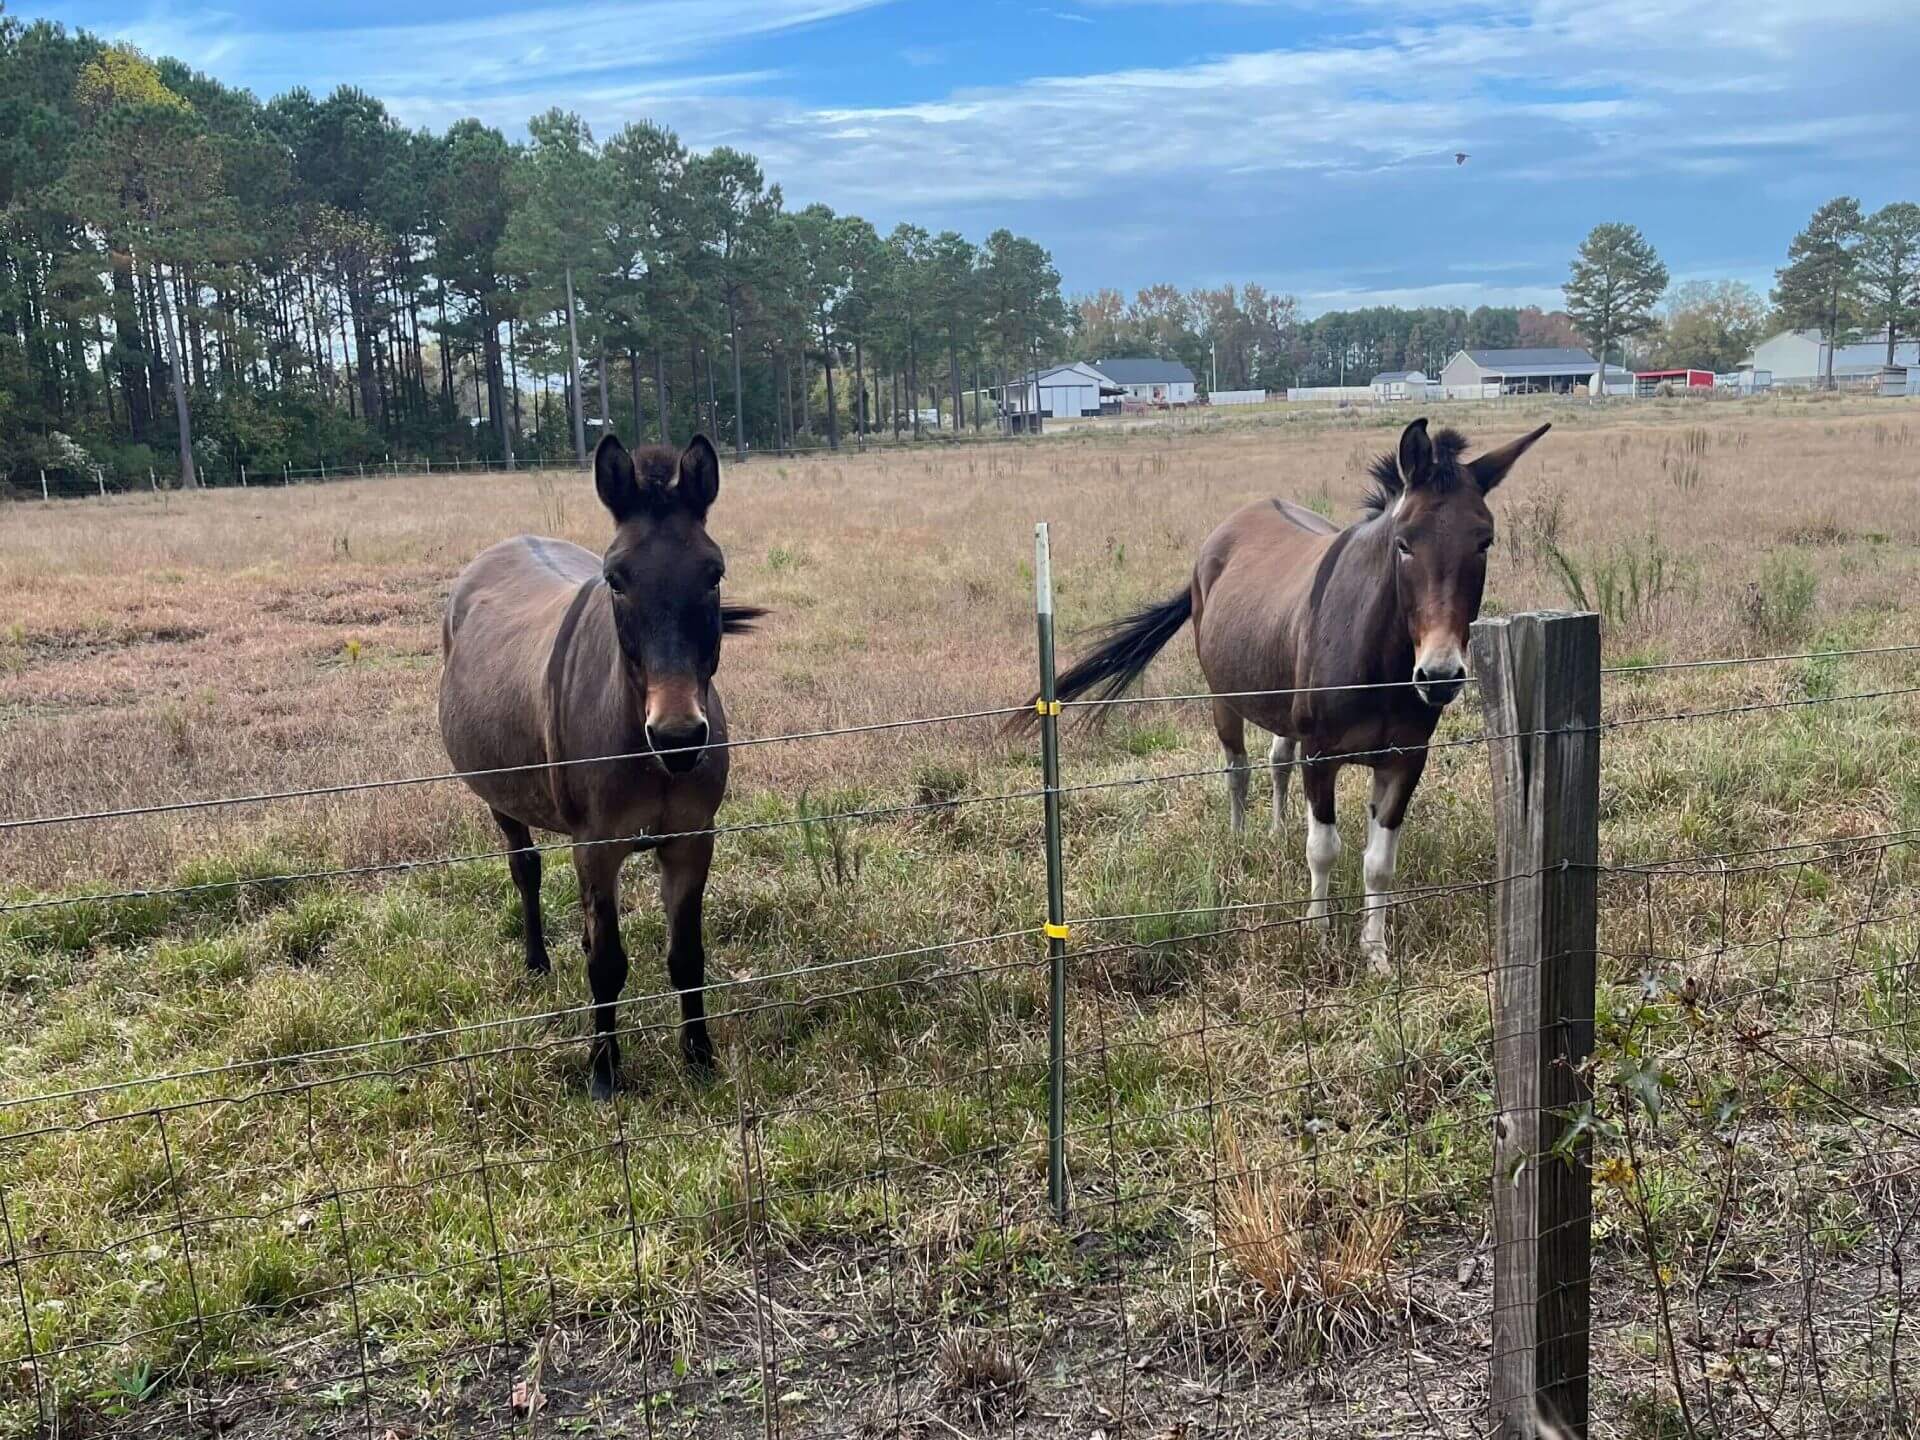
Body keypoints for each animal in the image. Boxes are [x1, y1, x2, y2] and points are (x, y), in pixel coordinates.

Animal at [438, 433, 763, 1098]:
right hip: (502, 800)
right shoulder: (598, 843)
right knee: (525, 869)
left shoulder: (691, 839)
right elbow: (607, 964)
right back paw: (537, 962)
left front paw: (699, 1058)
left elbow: (686, 957)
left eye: (713, 574)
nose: (678, 737)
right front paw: (604, 1072)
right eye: (616, 579)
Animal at [1041, 418, 1549, 970]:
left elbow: (1379, 861)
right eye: (1404, 543)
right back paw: (1241, 838)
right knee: (1238, 768)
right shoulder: (1321, 755)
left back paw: (1277, 830)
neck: (1378, 664)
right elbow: (1323, 847)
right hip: (1224, 697)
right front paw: (1318, 933)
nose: (1439, 676)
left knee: (1277, 760)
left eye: (1484, 542)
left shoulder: (1405, 759)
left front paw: (1375, 954)